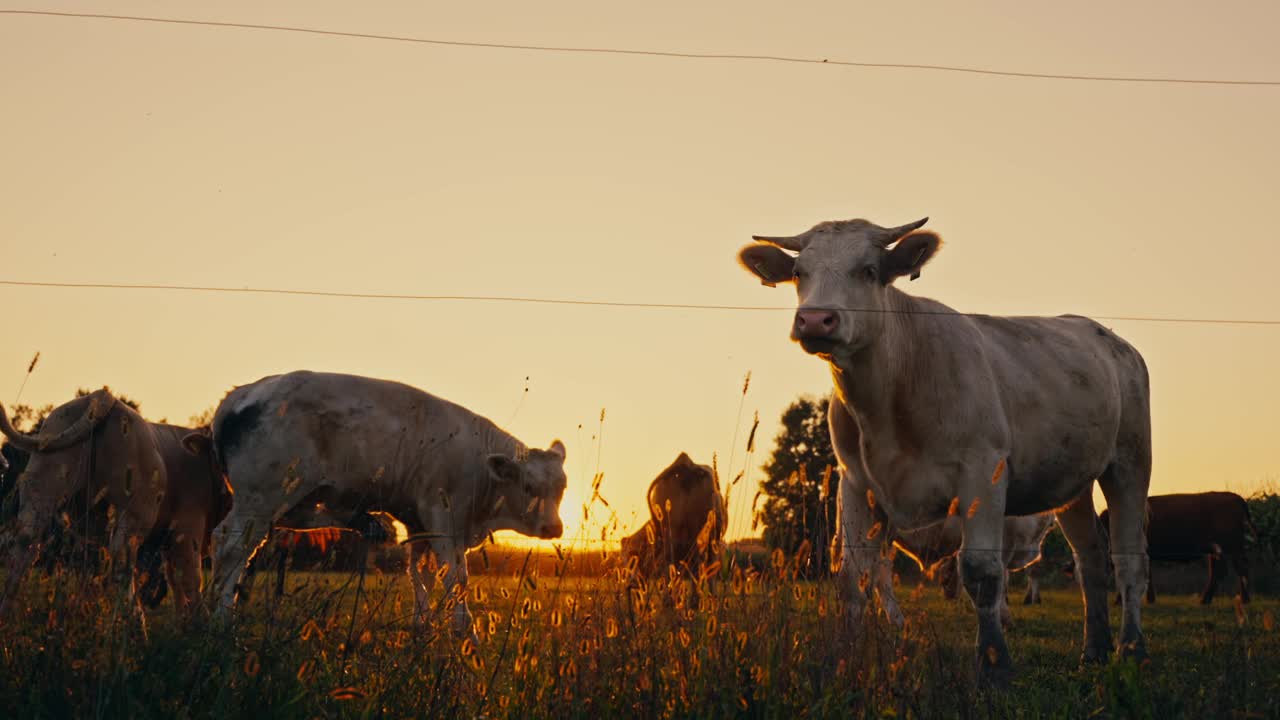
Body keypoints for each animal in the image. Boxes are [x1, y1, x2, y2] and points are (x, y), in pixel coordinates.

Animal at [209, 366, 570, 635]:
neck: (476, 459)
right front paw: (464, 630)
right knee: (232, 549)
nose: (553, 527)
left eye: (562, 488)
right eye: (528, 485)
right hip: (261, 499)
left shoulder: (419, 524)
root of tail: (244, 392)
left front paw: (424, 626)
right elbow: (456, 576)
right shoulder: (443, 516)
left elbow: (421, 573)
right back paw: (223, 618)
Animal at [737, 213, 1157, 681]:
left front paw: (994, 664)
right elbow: (852, 578)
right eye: (798, 273)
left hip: (1130, 462)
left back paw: (1132, 648)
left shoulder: (984, 472)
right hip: (1073, 483)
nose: (815, 320)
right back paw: (1094, 649)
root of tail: (1107, 336)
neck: (889, 396)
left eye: (868, 270)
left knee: (1129, 558)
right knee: (1091, 559)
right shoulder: (855, 483)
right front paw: (842, 661)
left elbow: (981, 570)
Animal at [1095, 489, 1254, 602]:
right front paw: (1149, 599)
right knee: (1220, 571)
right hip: (1217, 550)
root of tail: (1236, 497)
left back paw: (1243, 599)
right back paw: (1206, 599)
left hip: (1232, 547)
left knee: (1239, 568)